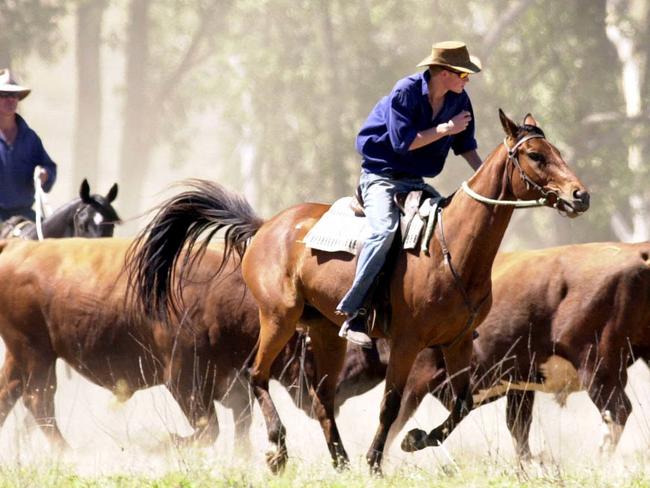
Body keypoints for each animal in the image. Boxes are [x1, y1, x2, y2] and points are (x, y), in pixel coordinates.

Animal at [0, 238, 314, 452]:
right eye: (309, 351)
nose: (317, 400)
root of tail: (16, 247)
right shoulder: (182, 381)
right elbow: (210, 428)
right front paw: (158, 442)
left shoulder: (229, 382)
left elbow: (240, 423)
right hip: (36, 355)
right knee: (38, 400)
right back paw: (68, 453)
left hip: (22, 357)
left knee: (11, 394)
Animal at [130, 108, 588, 470]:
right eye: (535, 155)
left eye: (559, 152)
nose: (579, 196)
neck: (449, 248)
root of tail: (266, 227)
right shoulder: (406, 343)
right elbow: (391, 404)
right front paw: (375, 460)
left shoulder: (456, 341)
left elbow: (462, 402)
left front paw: (415, 440)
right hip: (278, 318)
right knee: (256, 374)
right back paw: (280, 449)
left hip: (325, 332)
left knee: (322, 398)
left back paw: (340, 460)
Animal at [324, 242, 648, 460]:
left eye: (347, 343)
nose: (320, 393)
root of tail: (637, 252)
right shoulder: (519, 383)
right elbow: (516, 429)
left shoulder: (419, 375)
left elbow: (396, 421)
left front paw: (403, 446)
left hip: (597, 366)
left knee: (617, 411)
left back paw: (599, 461)